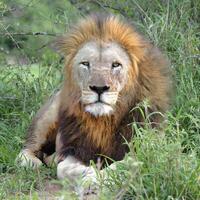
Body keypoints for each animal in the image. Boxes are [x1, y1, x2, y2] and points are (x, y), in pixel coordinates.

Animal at [16, 13, 172, 183]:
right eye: (85, 64)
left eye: (116, 65)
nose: (99, 88)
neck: (104, 121)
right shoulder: (74, 147)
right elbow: (62, 168)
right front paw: (87, 172)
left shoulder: (147, 149)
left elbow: (123, 166)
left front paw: (97, 177)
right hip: (48, 116)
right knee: (28, 146)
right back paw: (31, 162)